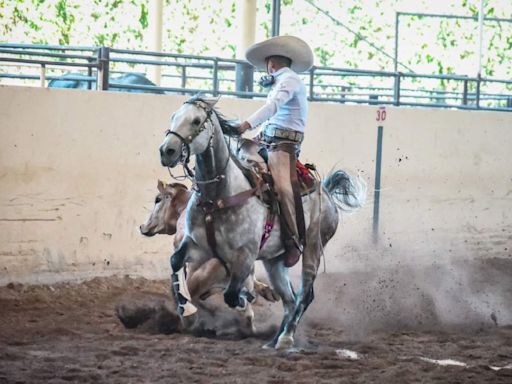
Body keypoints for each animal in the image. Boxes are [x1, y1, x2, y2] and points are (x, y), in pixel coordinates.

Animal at [158, 95, 366, 348]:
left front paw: (245, 299)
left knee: (304, 295)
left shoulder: (245, 255)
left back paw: (286, 337)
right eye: (174, 116)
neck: (218, 197)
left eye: (196, 120)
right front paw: (185, 307)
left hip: (314, 249)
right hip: (274, 261)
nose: (167, 150)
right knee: (289, 299)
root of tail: (325, 192)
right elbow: (175, 261)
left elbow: (231, 294)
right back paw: (274, 339)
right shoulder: (198, 245)